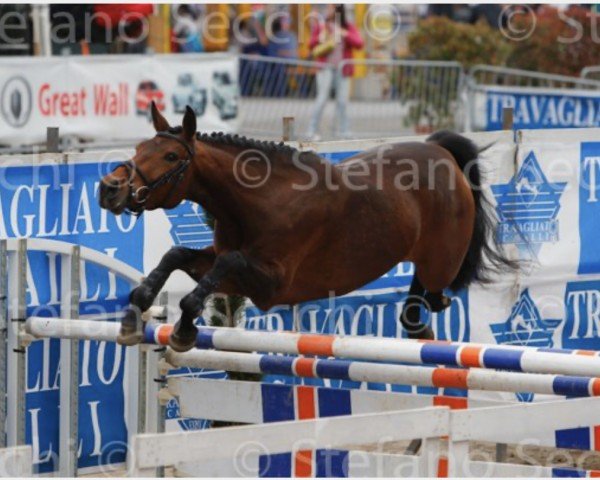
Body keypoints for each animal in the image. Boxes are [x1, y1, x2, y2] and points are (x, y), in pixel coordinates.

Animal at [101, 103, 512, 350]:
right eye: (139, 149)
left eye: (171, 156)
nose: (109, 188)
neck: (258, 200)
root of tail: (440, 151)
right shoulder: (232, 275)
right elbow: (176, 256)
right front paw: (134, 313)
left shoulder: (271, 284)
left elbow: (225, 264)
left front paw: (184, 328)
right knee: (417, 304)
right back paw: (419, 327)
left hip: (441, 261)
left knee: (436, 290)